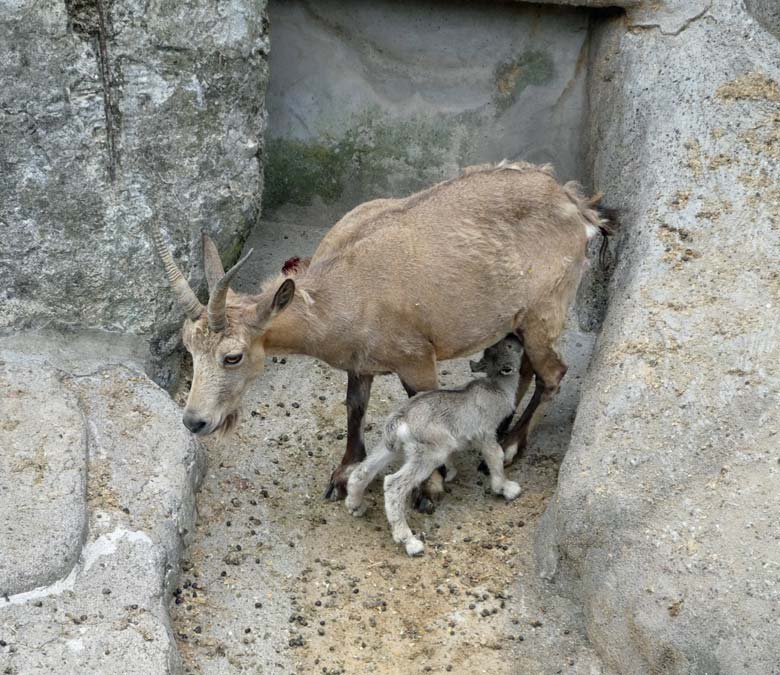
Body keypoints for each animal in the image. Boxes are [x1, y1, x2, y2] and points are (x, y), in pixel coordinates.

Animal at [348, 336, 524, 556]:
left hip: (392, 447)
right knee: (393, 485)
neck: (496, 386)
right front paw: (507, 488)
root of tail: (401, 420)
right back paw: (410, 542)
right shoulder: (485, 433)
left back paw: (355, 505)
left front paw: (451, 473)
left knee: (362, 470)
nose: (517, 339)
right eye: (509, 346)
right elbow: (496, 457)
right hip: (428, 453)